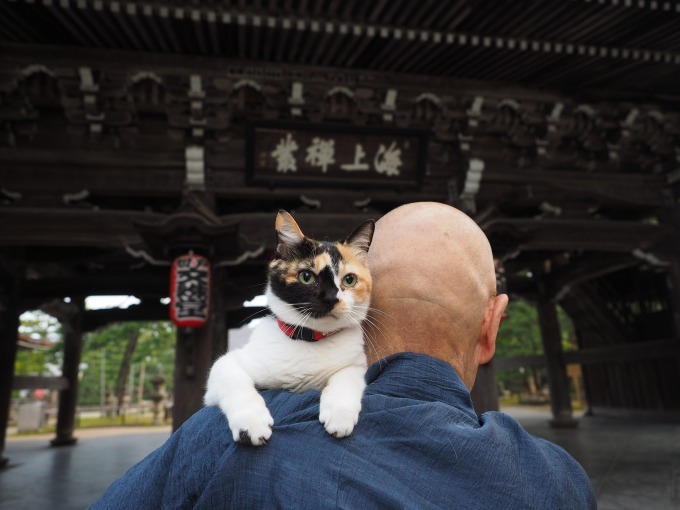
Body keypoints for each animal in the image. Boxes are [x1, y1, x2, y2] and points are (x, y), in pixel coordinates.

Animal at [205, 209, 374, 444]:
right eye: (306, 276)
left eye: (349, 280)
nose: (331, 298)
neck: (309, 340)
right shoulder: (225, 367)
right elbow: (234, 381)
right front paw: (251, 424)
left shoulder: (356, 364)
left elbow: (346, 378)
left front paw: (340, 416)